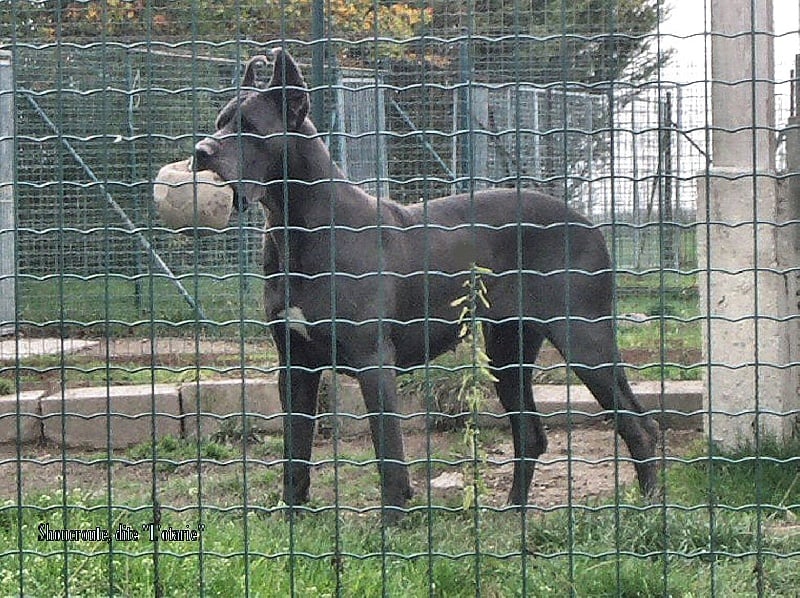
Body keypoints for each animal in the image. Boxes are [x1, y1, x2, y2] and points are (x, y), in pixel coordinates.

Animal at [197, 49, 660, 524]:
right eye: (220, 122)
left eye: (250, 128)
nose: (200, 152)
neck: (296, 225)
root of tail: (591, 224)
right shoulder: (295, 365)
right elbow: (295, 452)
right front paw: (291, 520)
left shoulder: (373, 361)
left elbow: (388, 452)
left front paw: (391, 522)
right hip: (507, 348)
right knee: (532, 433)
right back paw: (514, 512)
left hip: (584, 337)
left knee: (640, 425)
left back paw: (646, 512)